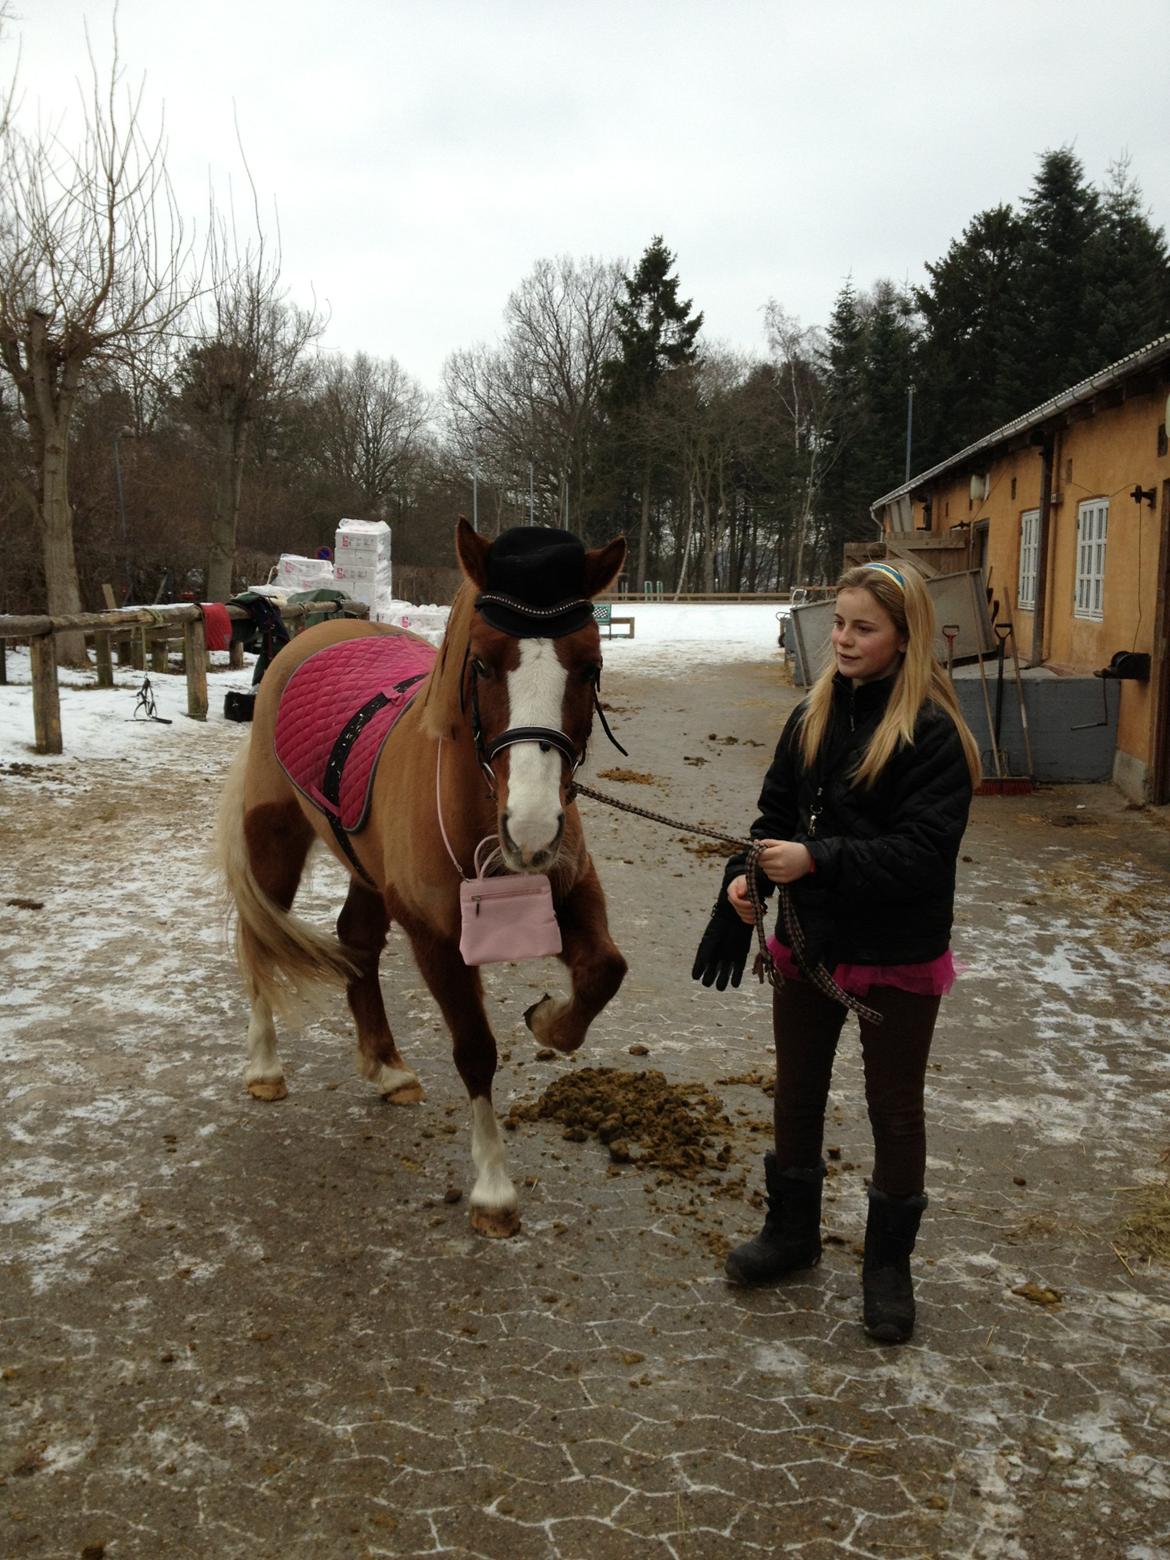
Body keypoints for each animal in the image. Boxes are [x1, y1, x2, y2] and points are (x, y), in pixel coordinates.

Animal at [213, 517, 627, 1235]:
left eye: (590, 665)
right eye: (483, 663)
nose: (533, 829)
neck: (478, 814)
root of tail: (312, 636)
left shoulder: (573, 895)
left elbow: (605, 971)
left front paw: (551, 1022)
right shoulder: (437, 939)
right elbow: (476, 1049)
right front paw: (493, 1187)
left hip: (367, 872)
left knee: (355, 939)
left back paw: (386, 1066)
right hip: (275, 844)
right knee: (259, 937)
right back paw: (264, 1065)